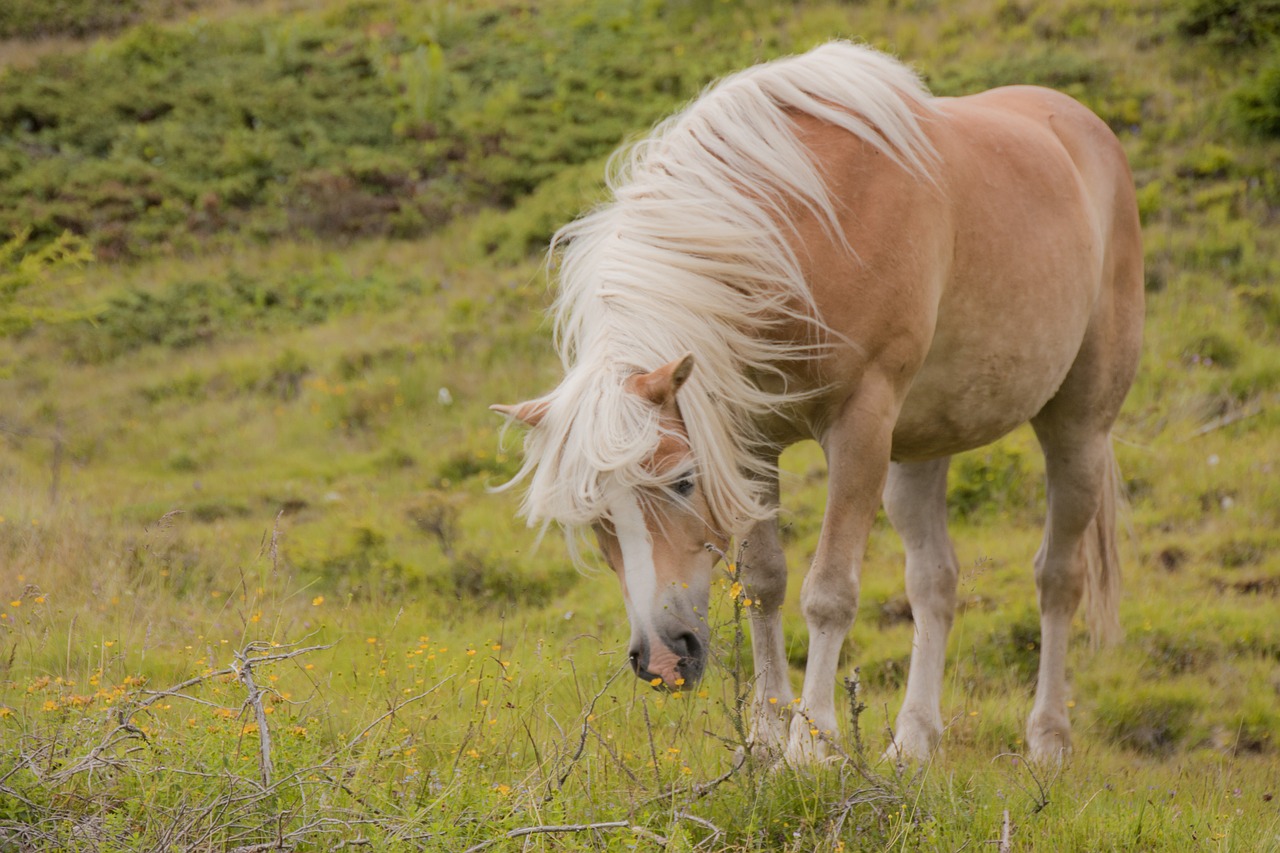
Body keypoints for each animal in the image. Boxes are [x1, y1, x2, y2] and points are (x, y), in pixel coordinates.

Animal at [488, 39, 1141, 758]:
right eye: (590, 512)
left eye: (683, 481)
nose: (661, 657)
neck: (798, 236)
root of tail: (1084, 127)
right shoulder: (750, 440)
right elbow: (764, 584)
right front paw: (766, 735)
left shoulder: (860, 427)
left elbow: (828, 590)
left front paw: (812, 741)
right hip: (921, 449)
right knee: (934, 582)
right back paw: (913, 743)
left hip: (1076, 428)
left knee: (1058, 577)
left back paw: (1048, 739)